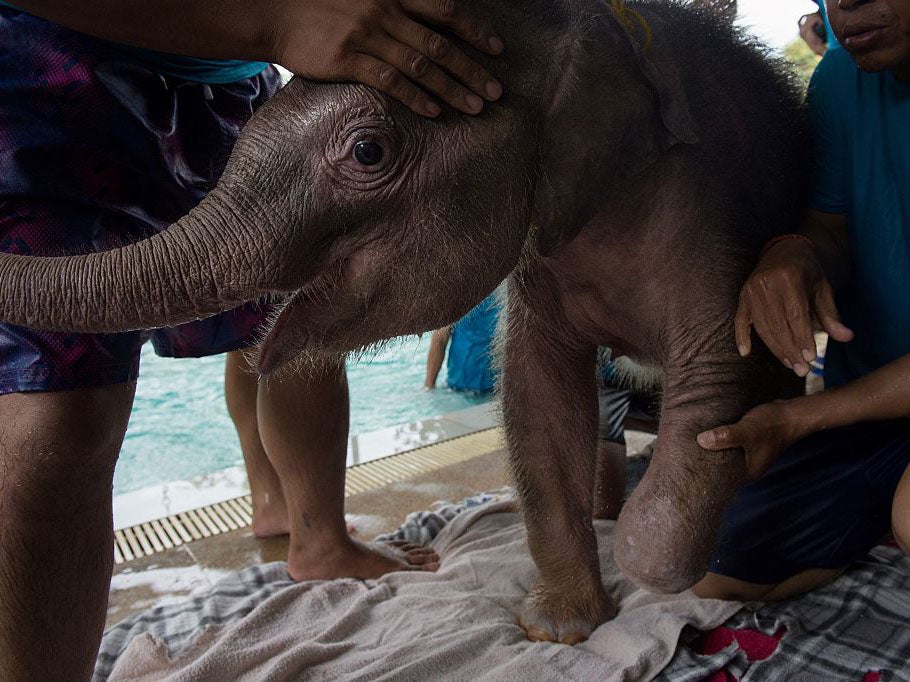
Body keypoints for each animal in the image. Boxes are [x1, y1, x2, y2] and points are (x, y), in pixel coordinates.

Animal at [1, 0, 812, 640]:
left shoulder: (714, 210)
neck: (588, 27)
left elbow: (716, 380)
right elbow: (539, 397)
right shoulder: (544, 253)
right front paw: (560, 627)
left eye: (368, 151)